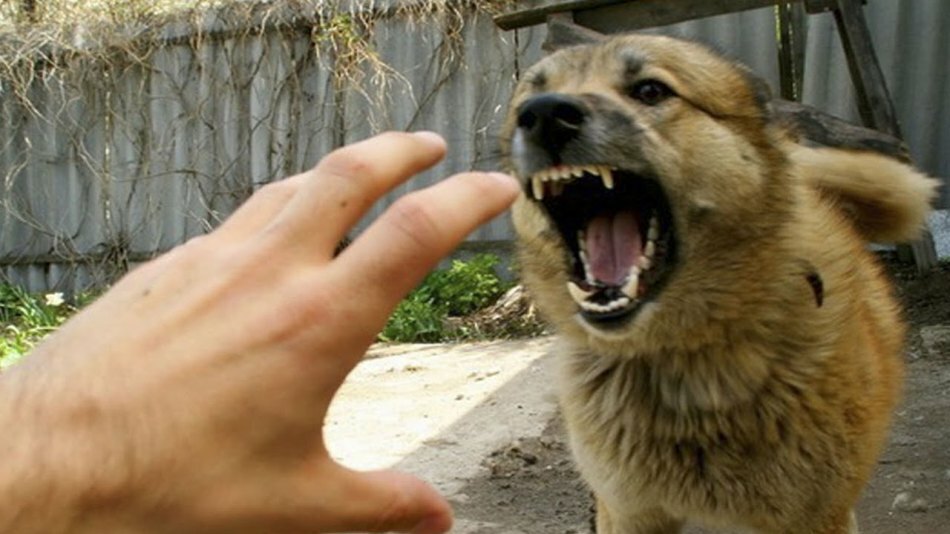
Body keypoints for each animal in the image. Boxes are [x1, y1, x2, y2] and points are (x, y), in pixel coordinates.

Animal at [502, 34, 940, 534]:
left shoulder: (818, 517)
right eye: (529, 97)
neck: (687, 360)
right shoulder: (629, 513)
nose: (543, 114)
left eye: (650, 90)